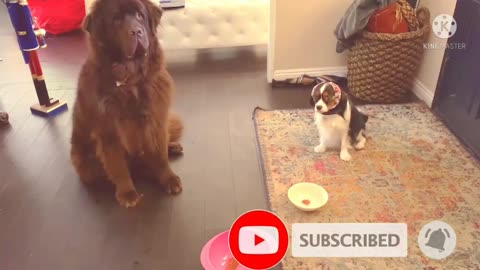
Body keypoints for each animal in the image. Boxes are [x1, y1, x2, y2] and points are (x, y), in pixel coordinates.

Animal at [70, 0, 183, 208]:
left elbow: (159, 154)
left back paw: (172, 147)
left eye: (140, 15)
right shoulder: (109, 131)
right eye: (116, 20)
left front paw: (169, 179)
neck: (132, 80)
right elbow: (117, 164)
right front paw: (127, 193)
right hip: (83, 161)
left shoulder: (156, 120)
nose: (137, 31)